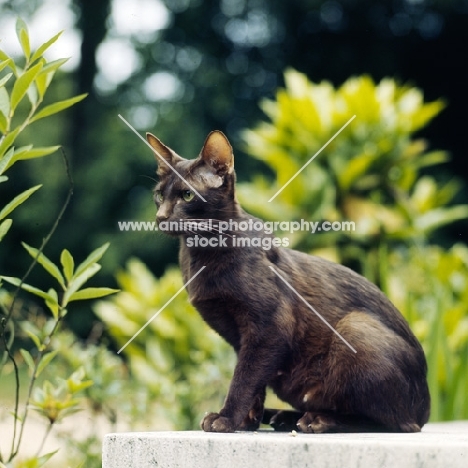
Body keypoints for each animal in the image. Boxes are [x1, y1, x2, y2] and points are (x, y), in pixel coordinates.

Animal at [147, 130, 432, 434]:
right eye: (159, 195)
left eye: (187, 195)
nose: (160, 217)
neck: (200, 255)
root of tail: (426, 408)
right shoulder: (241, 339)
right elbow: (252, 382)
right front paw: (247, 422)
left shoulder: (270, 328)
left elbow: (243, 379)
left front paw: (226, 419)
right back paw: (283, 416)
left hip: (357, 328)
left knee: (392, 422)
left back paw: (316, 420)